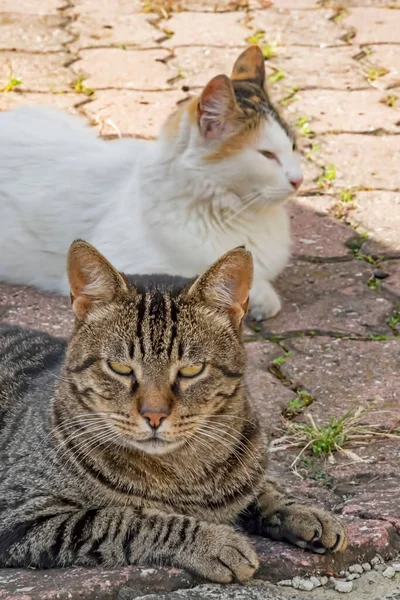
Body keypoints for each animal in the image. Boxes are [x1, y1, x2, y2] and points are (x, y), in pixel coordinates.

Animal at [0, 240, 346, 580]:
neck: (182, 472)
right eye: (120, 367)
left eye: (191, 370)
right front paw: (214, 541)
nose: (154, 415)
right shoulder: (20, 514)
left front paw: (305, 511)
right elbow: (127, 519)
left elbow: (262, 489)